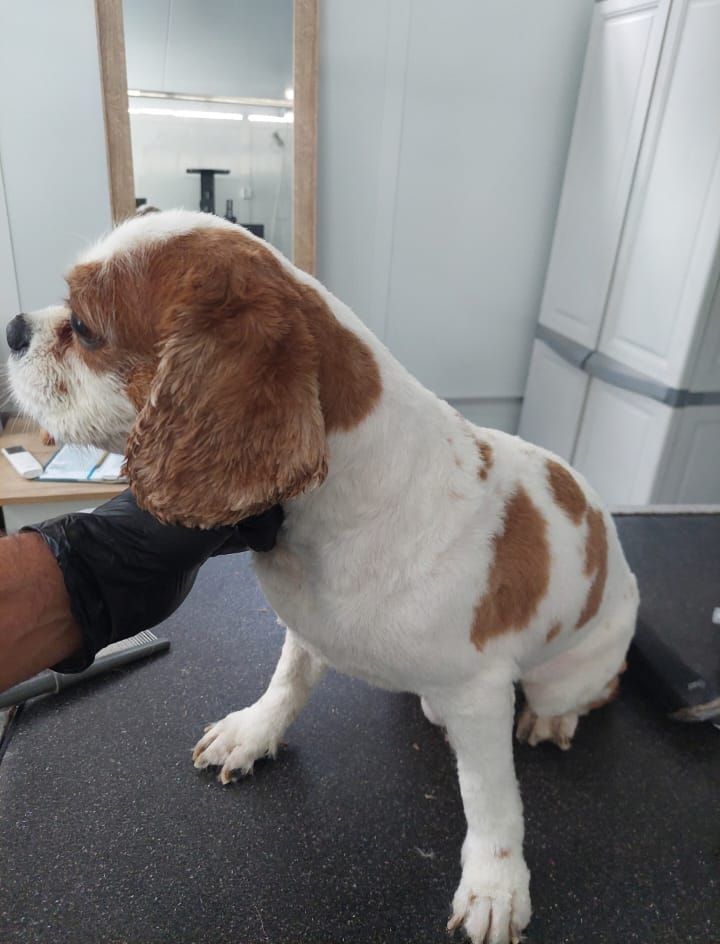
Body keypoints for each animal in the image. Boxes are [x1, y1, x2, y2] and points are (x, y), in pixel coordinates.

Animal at [7, 210, 638, 944]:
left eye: (84, 328)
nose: (14, 328)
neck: (337, 520)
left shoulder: (481, 692)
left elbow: (490, 799)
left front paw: (496, 884)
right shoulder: (307, 628)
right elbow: (287, 682)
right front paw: (255, 731)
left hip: (570, 671)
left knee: (592, 691)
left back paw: (553, 718)